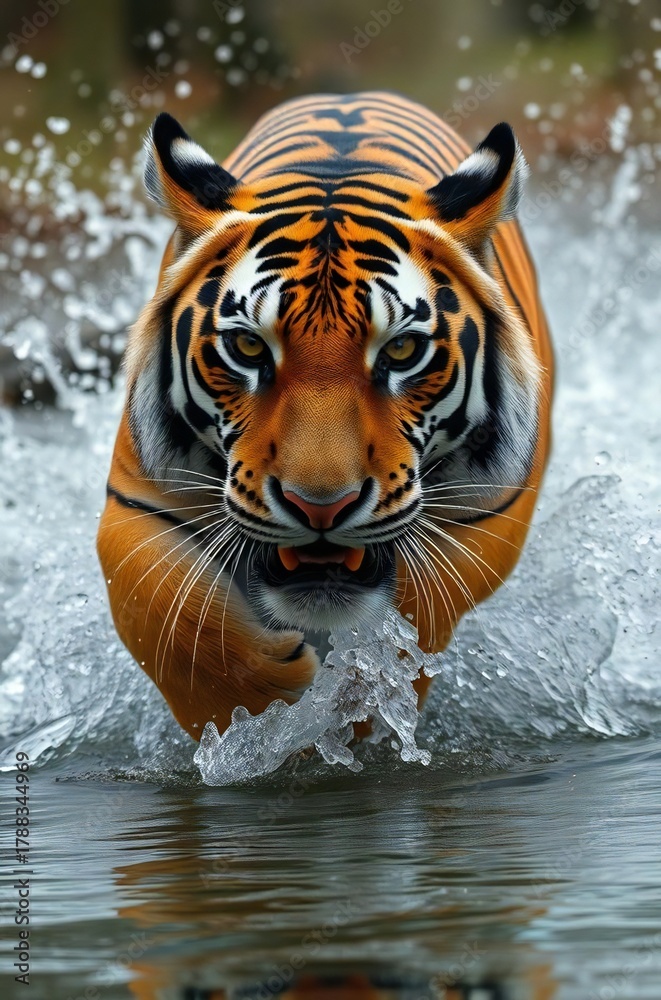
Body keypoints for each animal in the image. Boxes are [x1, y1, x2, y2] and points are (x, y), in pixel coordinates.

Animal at [97, 91, 553, 742]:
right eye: (249, 347)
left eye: (401, 351)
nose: (320, 508)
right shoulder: (138, 498)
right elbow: (156, 606)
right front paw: (253, 716)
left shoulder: (486, 510)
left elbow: (408, 627)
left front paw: (353, 712)